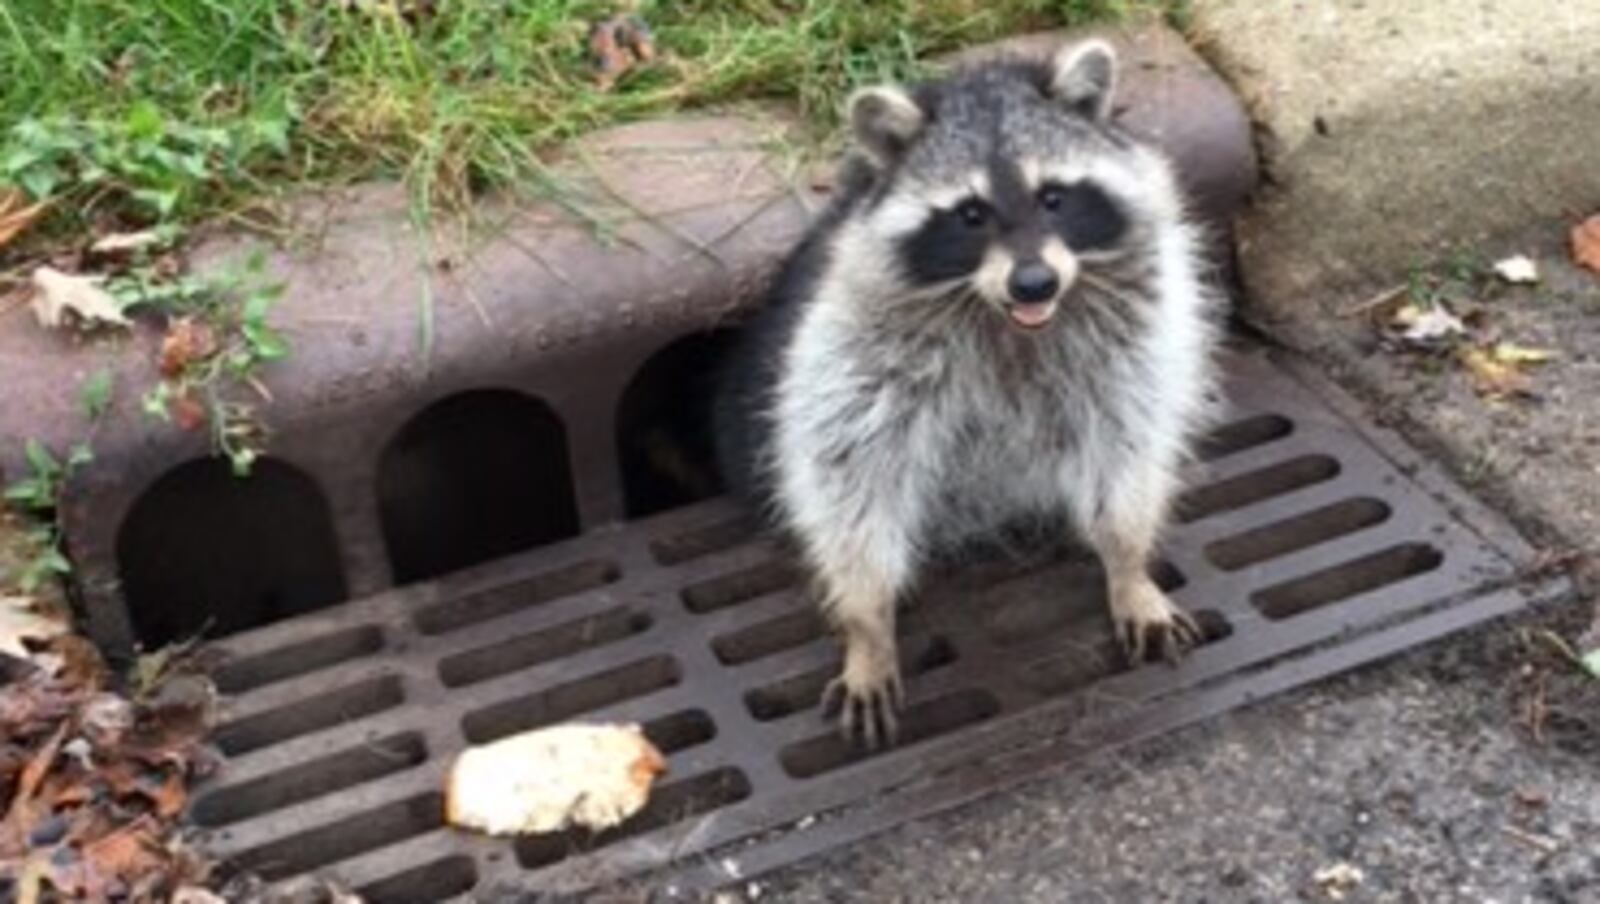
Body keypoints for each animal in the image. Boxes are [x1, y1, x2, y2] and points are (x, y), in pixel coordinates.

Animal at [710, 40, 1209, 748]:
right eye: (970, 214)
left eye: (1054, 197)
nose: (1034, 283)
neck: (1008, 319)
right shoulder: (848, 353)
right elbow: (848, 480)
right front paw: (867, 624)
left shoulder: (1130, 344)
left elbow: (1125, 444)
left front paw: (1128, 565)